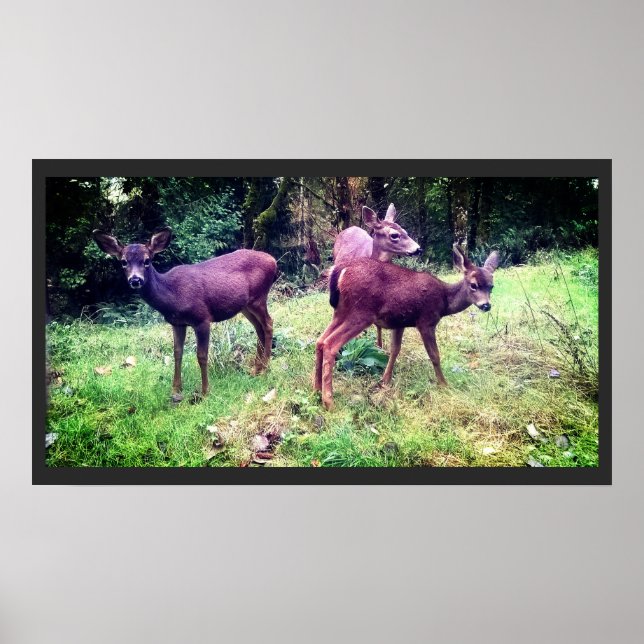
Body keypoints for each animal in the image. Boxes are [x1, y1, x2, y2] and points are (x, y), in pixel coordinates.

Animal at [93, 228, 277, 402]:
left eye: (147, 261)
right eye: (123, 262)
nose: (135, 280)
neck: (173, 296)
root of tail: (273, 261)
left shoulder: (202, 318)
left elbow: (201, 355)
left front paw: (204, 392)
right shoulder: (177, 322)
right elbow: (177, 353)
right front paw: (176, 389)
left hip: (259, 297)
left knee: (268, 323)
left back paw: (265, 369)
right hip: (246, 305)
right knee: (259, 328)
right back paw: (256, 369)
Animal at [314, 244, 500, 410]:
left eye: (491, 286)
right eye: (473, 285)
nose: (486, 305)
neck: (444, 301)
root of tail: (341, 271)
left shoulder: (399, 322)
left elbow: (394, 350)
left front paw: (385, 381)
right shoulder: (426, 321)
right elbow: (434, 355)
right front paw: (444, 384)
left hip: (341, 312)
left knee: (320, 341)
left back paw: (316, 390)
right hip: (361, 312)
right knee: (330, 344)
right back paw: (329, 402)